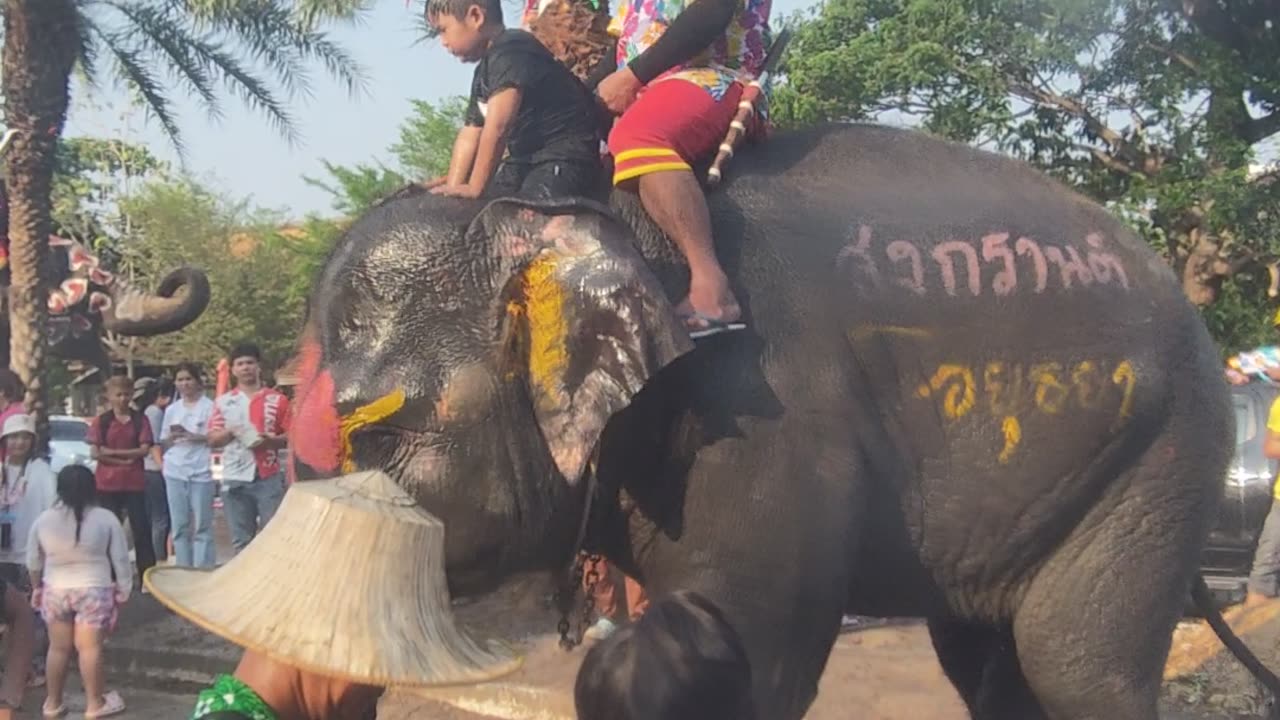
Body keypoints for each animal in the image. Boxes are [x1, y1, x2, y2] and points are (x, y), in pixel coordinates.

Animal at [285, 122, 1274, 717]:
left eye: (374, 436)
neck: (589, 216)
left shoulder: (764, 415)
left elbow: (759, 647)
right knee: (992, 663)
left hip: (1163, 455)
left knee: (1073, 661)